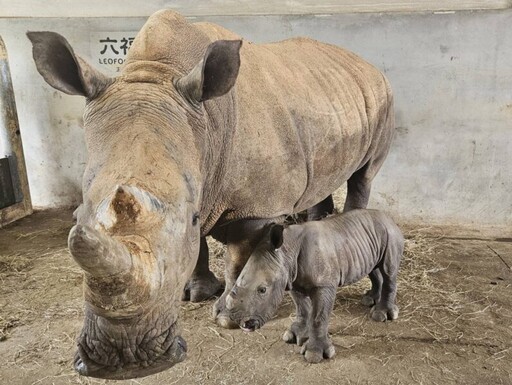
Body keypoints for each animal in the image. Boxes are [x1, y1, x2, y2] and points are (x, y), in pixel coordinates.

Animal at [226, 208, 402, 362]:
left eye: (262, 290)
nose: (241, 320)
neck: (286, 251)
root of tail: (389, 217)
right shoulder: (292, 279)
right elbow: (302, 308)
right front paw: (295, 336)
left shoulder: (323, 284)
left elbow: (319, 316)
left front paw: (314, 355)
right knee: (373, 267)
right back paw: (369, 300)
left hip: (390, 233)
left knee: (388, 270)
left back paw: (380, 315)